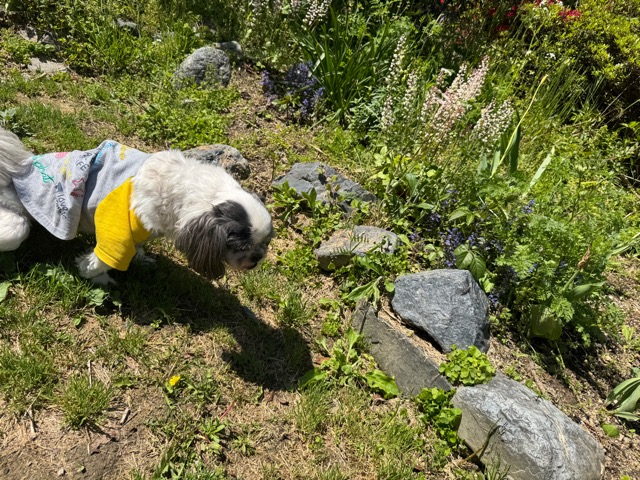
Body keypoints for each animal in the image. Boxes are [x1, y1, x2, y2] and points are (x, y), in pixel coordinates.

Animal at [0, 127, 273, 284]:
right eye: (239, 247)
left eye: (265, 245)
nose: (256, 258)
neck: (179, 187)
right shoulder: (117, 228)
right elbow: (104, 259)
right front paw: (95, 275)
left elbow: (137, 246)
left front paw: (141, 258)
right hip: (15, 227)